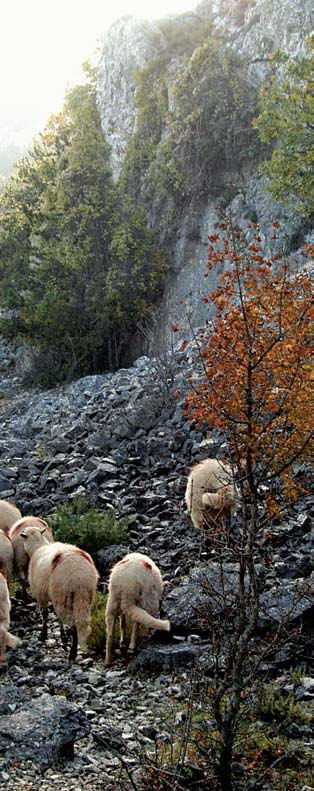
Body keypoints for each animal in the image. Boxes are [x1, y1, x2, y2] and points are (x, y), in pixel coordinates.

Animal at [20, 524, 98, 664]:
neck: (37, 547)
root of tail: (79, 573)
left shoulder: (41, 594)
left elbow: (45, 614)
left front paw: (44, 634)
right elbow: (57, 618)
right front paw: (62, 637)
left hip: (62, 594)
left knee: (72, 623)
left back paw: (72, 653)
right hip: (85, 595)